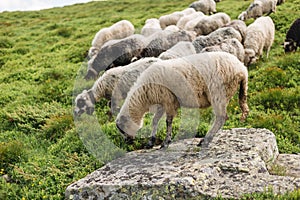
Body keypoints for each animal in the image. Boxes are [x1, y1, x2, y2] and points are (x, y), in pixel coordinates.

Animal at [116, 51, 250, 148]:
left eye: (121, 130)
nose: (127, 142)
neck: (144, 94)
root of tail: (242, 69)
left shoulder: (168, 100)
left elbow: (168, 122)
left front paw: (166, 142)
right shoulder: (162, 102)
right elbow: (154, 121)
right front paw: (151, 142)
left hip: (218, 93)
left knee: (221, 118)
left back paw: (205, 140)